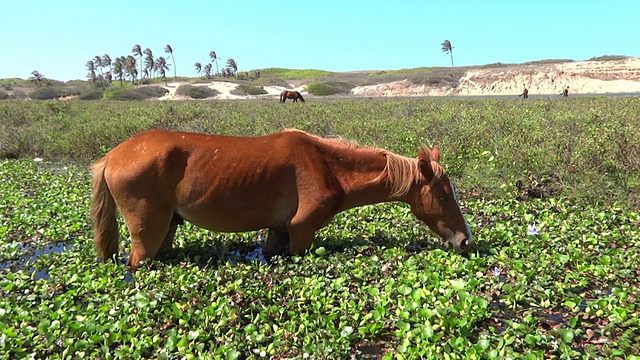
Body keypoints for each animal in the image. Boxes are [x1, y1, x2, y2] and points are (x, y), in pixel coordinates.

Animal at [90, 129, 472, 270]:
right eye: (442, 194)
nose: (465, 240)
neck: (328, 167)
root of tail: (111, 157)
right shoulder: (302, 231)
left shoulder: (279, 231)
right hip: (147, 233)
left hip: (168, 227)